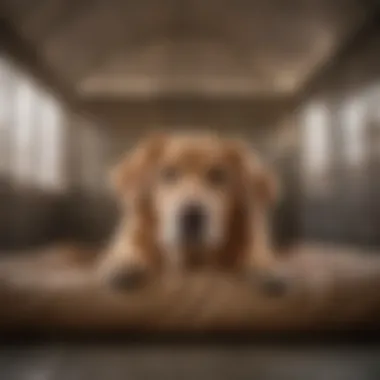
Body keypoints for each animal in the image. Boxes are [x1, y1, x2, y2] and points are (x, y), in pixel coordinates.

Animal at [98, 132, 282, 292]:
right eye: (168, 173)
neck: (191, 258)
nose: (192, 217)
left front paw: (266, 267)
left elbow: (257, 251)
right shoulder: (130, 237)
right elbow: (127, 248)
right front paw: (126, 263)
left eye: (218, 175)